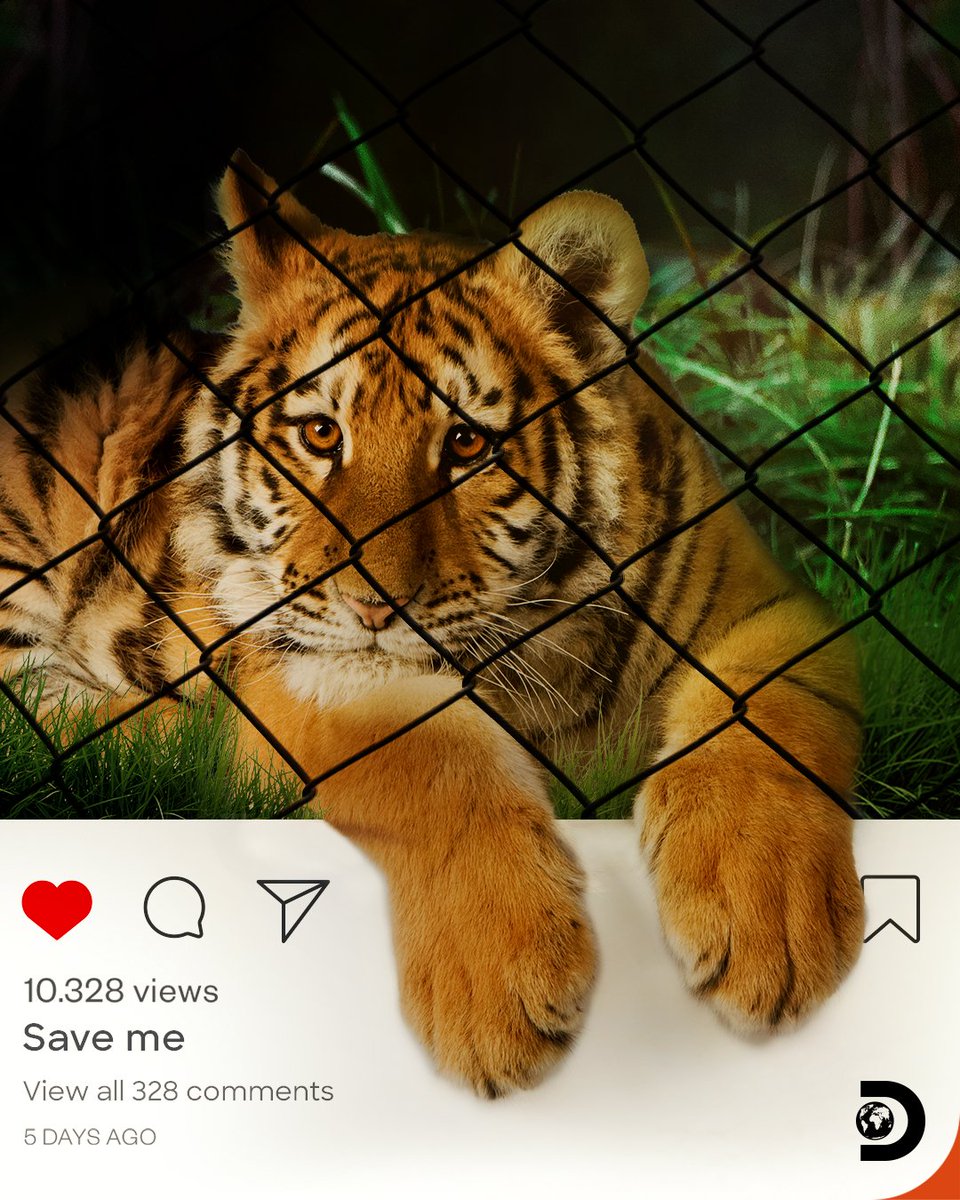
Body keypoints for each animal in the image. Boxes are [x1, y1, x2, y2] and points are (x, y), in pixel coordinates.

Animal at [0, 152, 864, 1097]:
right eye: (320, 434)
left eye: (466, 445)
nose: (372, 603)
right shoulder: (318, 669)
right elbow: (433, 766)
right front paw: (501, 994)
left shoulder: (773, 603)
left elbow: (769, 713)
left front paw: (769, 923)